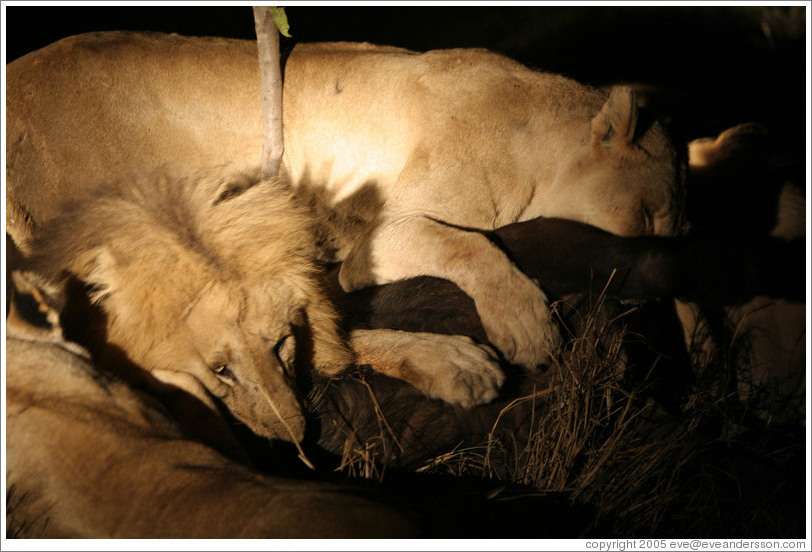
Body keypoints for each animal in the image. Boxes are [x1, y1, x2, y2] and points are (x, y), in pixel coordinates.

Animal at [6, 32, 686, 403]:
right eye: (644, 217)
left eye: (670, 229)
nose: (661, 278)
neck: (538, 130)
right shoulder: (380, 240)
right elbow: (468, 244)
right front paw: (524, 321)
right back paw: (454, 363)